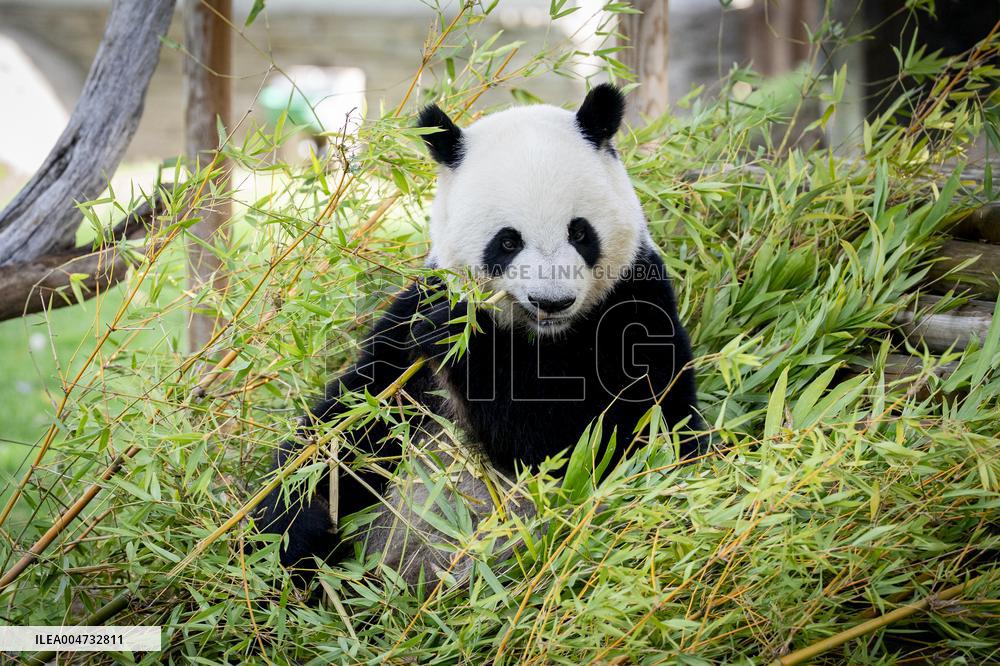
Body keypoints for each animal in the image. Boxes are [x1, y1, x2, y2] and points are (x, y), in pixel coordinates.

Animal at [255, 84, 705, 586]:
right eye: (508, 241)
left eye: (580, 232)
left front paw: (465, 344)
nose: (552, 301)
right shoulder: (413, 320)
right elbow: (349, 424)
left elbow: (594, 440)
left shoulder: (635, 307)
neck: (541, 336)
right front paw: (294, 526)